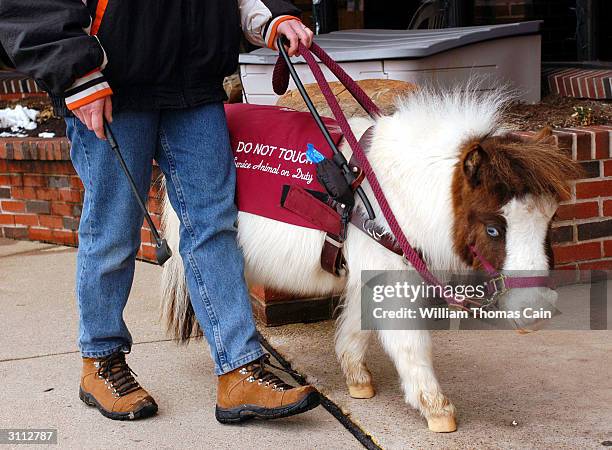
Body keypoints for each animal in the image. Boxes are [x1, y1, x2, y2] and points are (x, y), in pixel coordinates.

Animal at [158, 87, 580, 432]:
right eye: (494, 229)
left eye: (550, 221)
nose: (536, 310)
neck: (397, 194)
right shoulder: (392, 282)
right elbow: (410, 343)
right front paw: (437, 410)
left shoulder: (372, 276)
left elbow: (357, 327)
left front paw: (357, 380)